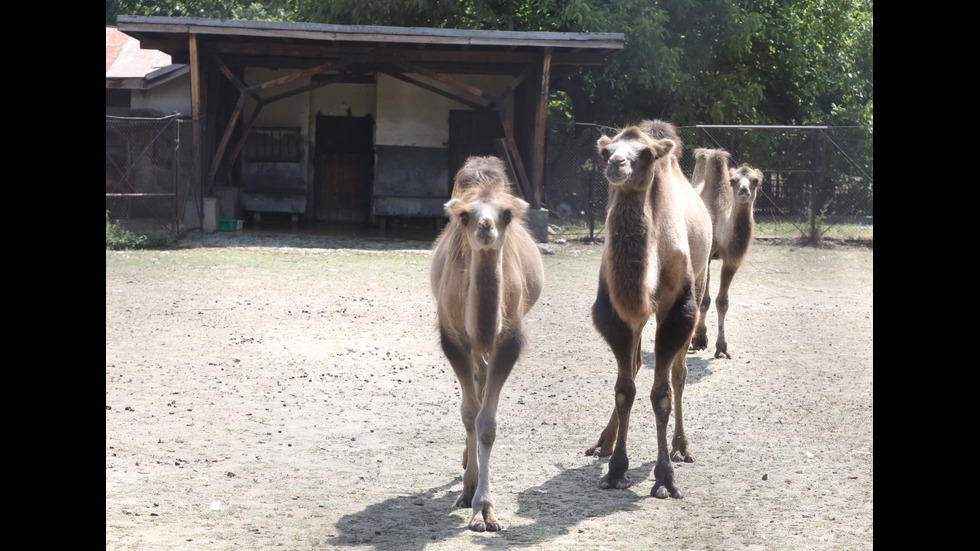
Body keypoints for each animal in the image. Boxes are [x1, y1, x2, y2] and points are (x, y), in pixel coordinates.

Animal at [432, 156, 548, 536]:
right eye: (465, 214)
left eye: (507, 214)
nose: (485, 225)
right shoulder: (453, 340)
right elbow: (469, 414)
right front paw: (470, 493)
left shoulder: (508, 342)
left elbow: (487, 424)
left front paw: (485, 509)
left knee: (482, 385)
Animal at [580, 121, 712, 500]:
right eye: (606, 151)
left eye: (648, 154)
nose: (617, 165)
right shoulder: (618, 314)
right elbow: (625, 389)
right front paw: (615, 471)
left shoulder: (677, 309)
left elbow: (662, 394)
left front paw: (665, 478)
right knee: (637, 366)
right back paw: (603, 443)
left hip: (699, 282)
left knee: (680, 373)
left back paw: (682, 447)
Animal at [684, 149, 760, 360]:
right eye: (733, 180)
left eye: (756, 180)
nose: (744, 192)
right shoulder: (708, 256)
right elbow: (704, 300)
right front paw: (699, 340)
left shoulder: (731, 260)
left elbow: (722, 302)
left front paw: (722, 347)